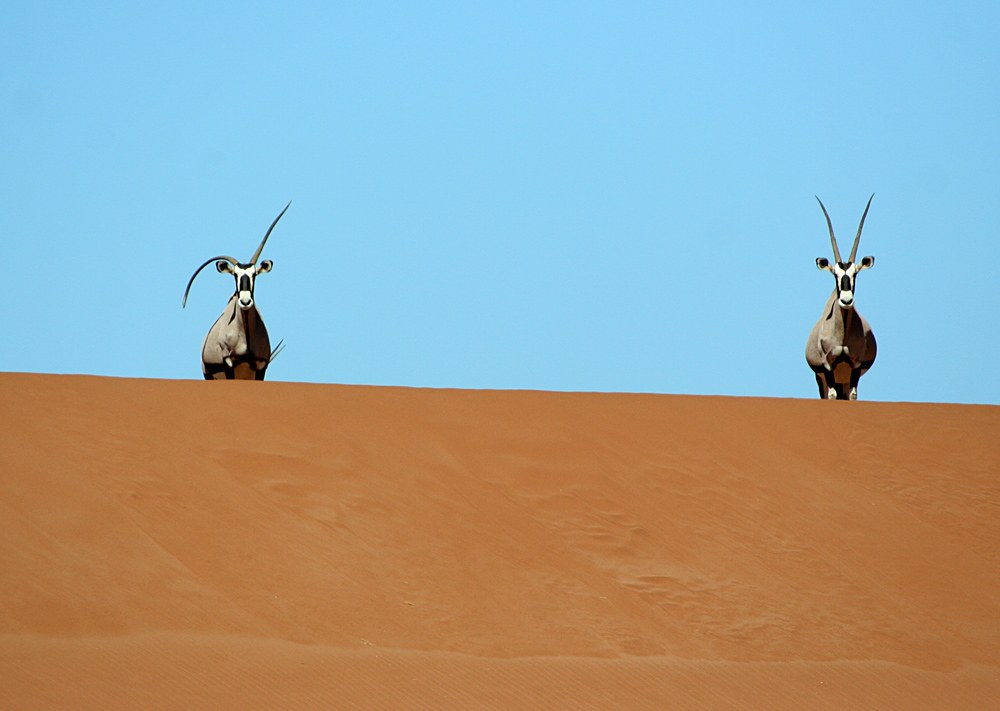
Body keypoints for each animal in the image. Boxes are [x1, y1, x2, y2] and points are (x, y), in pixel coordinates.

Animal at [808, 195, 880, 400]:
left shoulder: (856, 365)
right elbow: (831, 396)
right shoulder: (827, 365)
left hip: (845, 379)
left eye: (855, 274)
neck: (842, 336)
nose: (846, 301)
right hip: (824, 378)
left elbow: (853, 396)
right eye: (835, 274)